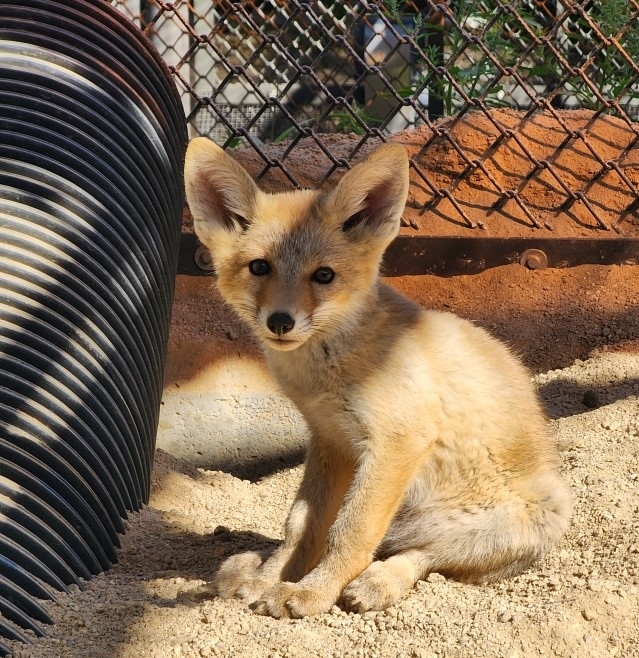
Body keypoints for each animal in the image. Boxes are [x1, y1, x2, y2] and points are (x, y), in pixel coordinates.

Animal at [182, 138, 572, 616]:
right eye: (259, 268)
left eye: (324, 275)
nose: (280, 322)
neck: (329, 375)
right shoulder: (330, 441)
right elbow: (300, 528)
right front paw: (269, 580)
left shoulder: (397, 443)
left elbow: (348, 533)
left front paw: (311, 592)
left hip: (520, 520)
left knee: (422, 557)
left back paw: (378, 582)